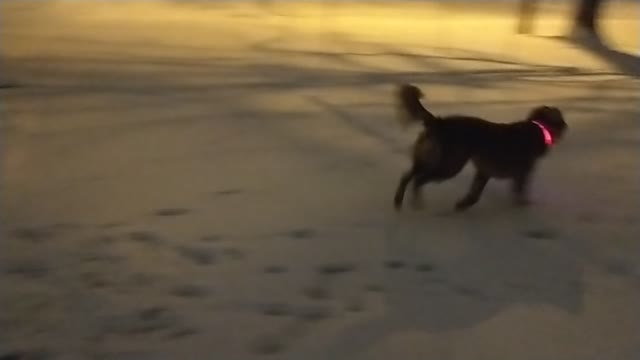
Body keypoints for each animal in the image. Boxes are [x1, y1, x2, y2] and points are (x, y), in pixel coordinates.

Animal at [392, 83, 568, 211]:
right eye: (561, 120)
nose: (567, 127)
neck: (538, 127)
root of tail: (439, 122)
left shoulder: (484, 172)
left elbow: (475, 194)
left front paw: (463, 204)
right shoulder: (522, 173)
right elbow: (519, 191)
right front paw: (523, 205)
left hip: (427, 159)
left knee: (406, 176)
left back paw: (398, 201)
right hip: (449, 165)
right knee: (418, 180)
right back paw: (416, 203)